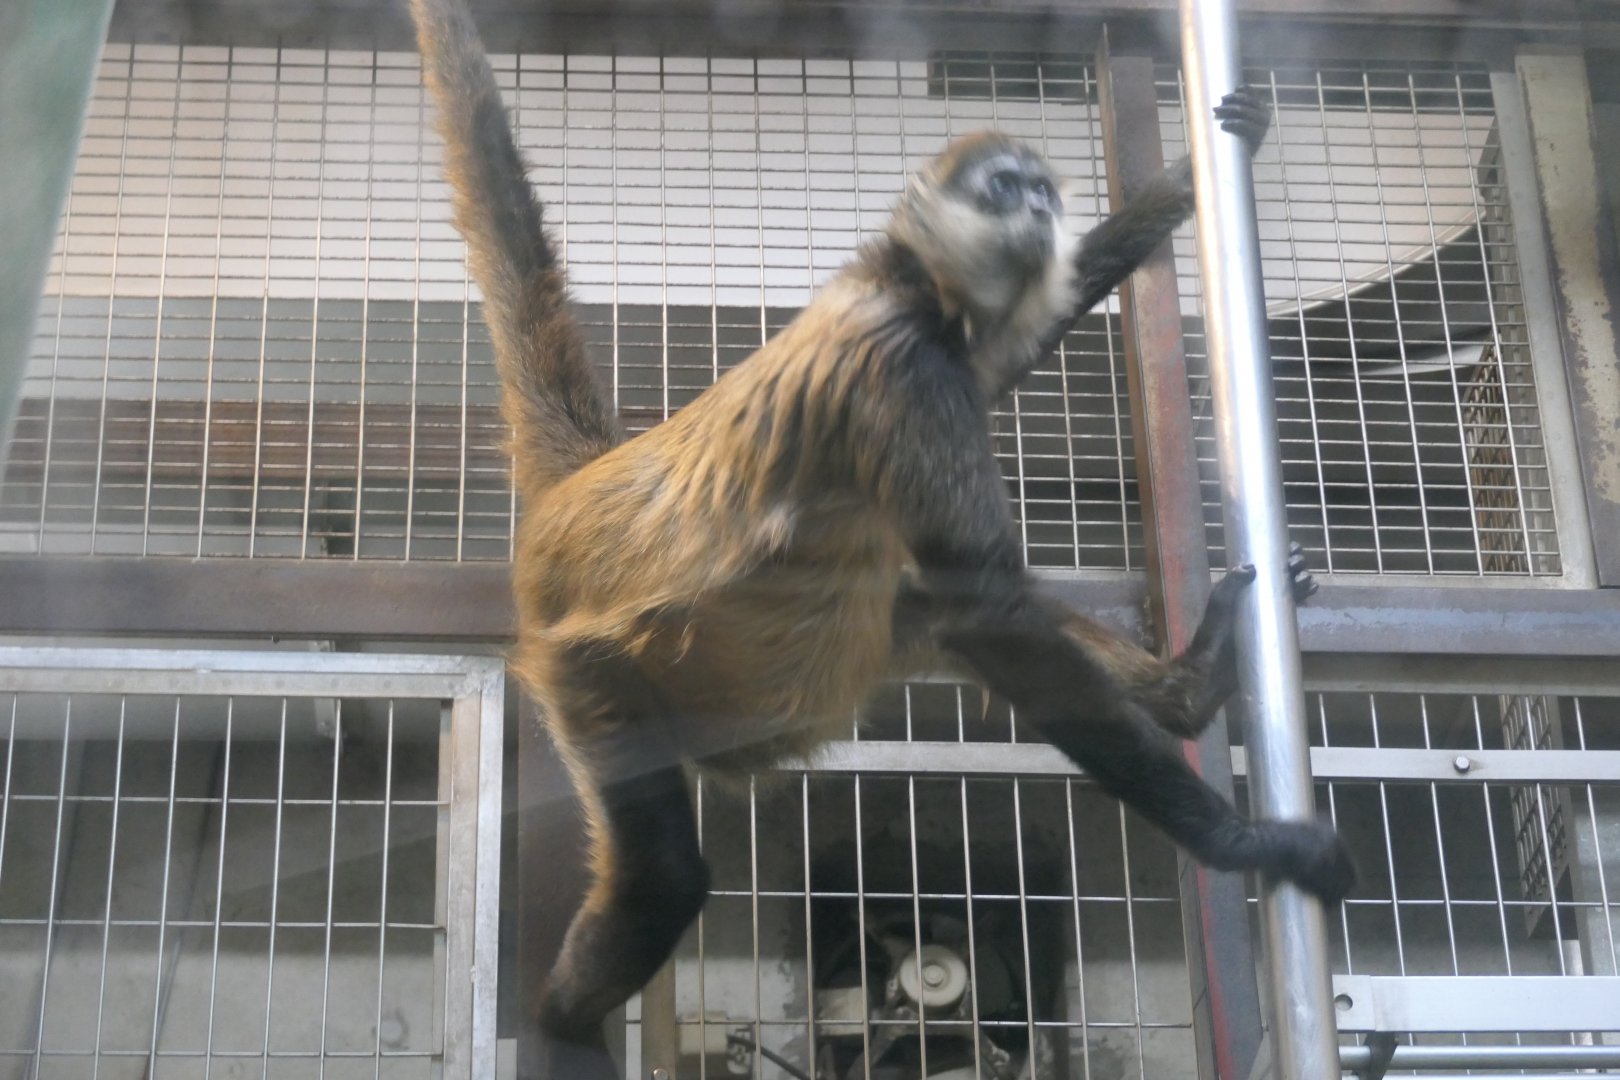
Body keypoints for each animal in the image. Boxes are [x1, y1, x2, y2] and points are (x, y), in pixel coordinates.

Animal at [406, 0, 1357, 1070]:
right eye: (1003, 188)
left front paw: (1202, 167)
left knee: (923, 610)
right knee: (665, 874)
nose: (1037, 212)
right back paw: (561, 1030)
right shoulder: (908, 370)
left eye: (1044, 191)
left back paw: (1191, 687)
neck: (906, 283)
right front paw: (1253, 846)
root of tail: (591, 492)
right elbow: (994, 616)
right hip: (592, 671)